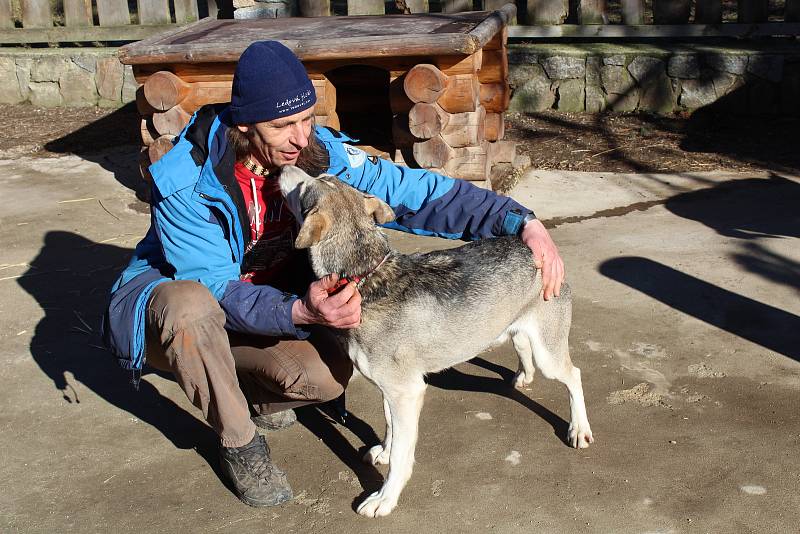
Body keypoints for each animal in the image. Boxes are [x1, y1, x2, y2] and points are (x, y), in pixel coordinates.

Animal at [278, 165, 592, 516]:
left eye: (304, 186)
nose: (284, 166)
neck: (365, 278)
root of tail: (538, 247)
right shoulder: (391, 390)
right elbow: (389, 427)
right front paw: (384, 451)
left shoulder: (407, 391)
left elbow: (401, 457)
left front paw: (385, 497)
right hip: (519, 334)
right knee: (523, 348)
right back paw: (524, 376)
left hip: (550, 357)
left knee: (574, 375)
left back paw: (579, 429)